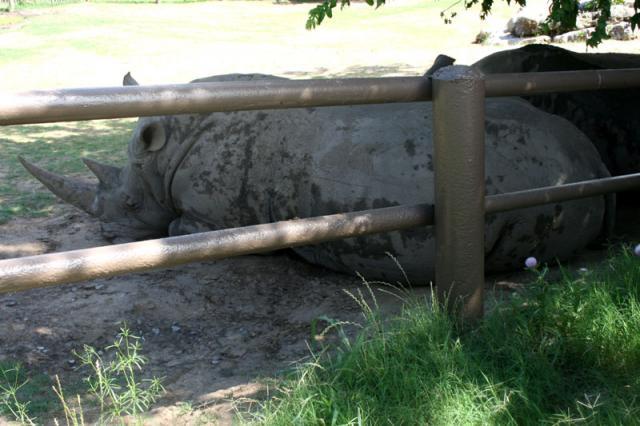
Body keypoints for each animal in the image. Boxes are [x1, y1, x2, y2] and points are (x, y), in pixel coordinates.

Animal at [20, 69, 611, 284]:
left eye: (130, 206)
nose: (105, 236)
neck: (166, 152)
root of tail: (596, 161)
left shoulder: (213, 219)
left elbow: (172, 230)